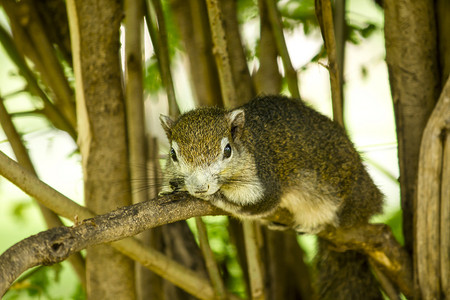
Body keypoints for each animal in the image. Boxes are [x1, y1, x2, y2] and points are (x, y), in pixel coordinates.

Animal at [160, 95, 382, 298]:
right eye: (172, 154)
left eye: (227, 150)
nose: (200, 187)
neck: (247, 143)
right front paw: (172, 187)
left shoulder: (266, 181)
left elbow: (255, 205)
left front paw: (215, 197)